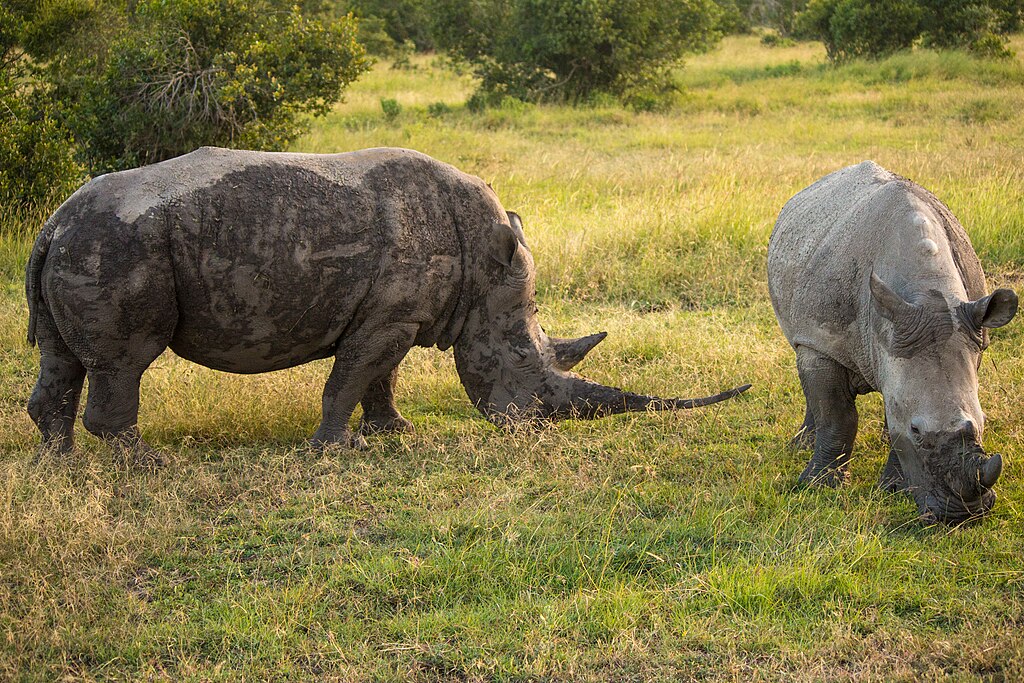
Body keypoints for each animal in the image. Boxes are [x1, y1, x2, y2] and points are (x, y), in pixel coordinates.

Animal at [26, 146, 749, 462]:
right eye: (524, 363)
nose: (534, 428)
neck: (483, 264)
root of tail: (52, 222)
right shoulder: (389, 317)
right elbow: (349, 378)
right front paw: (331, 450)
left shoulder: (399, 313)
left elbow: (381, 377)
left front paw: (394, 432)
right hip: (117, 244)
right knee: (127, 360)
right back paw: (142, 462)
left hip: (86, 243)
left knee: (63, 359)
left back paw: (59, 461)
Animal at [768, 161, 1017, 523]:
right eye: (916, 430)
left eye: (983, 422)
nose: (962, 515)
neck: (927, 294)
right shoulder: (823, 340)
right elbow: (837, 415)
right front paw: (818, 486)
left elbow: (892, 415)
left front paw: (894, 490)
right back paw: (801, 446)